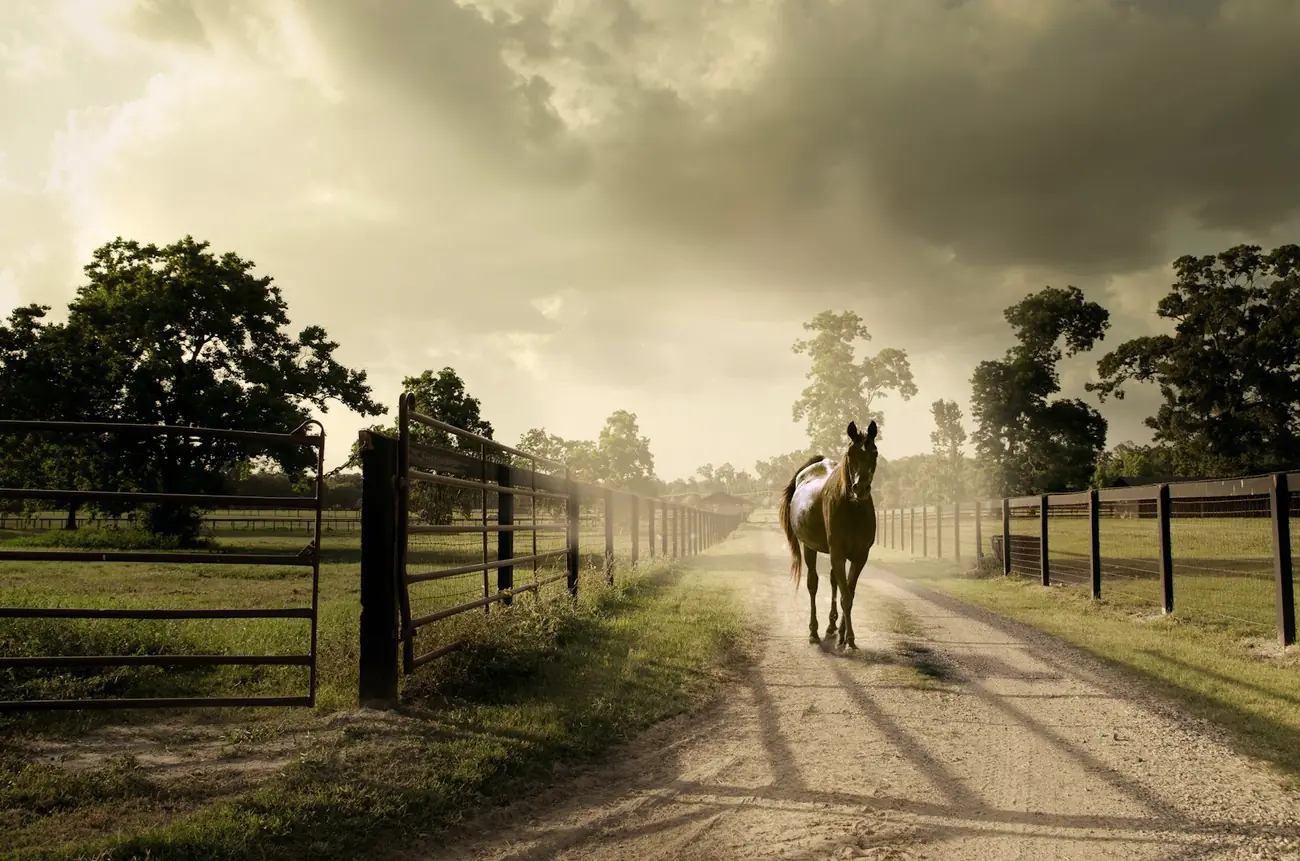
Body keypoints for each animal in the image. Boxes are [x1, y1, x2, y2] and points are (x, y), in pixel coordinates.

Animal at [778, 420, 879, 649]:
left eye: (875, 452)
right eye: (850, 453)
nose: (860, 488)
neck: (853, 509)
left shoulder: (860, 556)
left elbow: (849, 592)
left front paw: (842, 635)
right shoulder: (838, 554)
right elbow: (846, 597)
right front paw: (849, 639)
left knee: (833, 582)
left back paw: (831, 628)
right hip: (809, 548)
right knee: (813, 584)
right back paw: (814, 632)